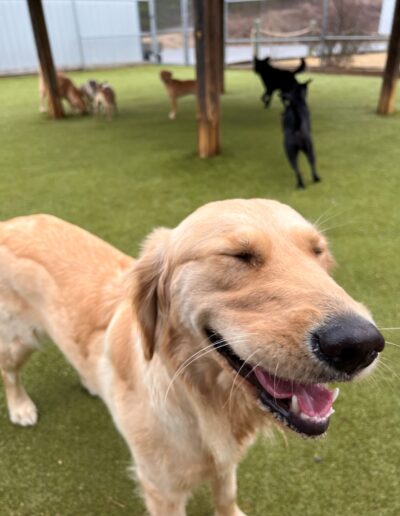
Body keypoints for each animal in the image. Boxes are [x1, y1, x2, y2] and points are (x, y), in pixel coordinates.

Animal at [0, 201, 382, 516]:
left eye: (318, 252)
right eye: (238, 255)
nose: (360, 345)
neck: (201, 398)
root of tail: (11, 222)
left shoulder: (225, 462)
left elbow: (226, 495)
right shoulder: (162, 490)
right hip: (19, 340)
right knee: (9, 374)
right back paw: (21, 407)